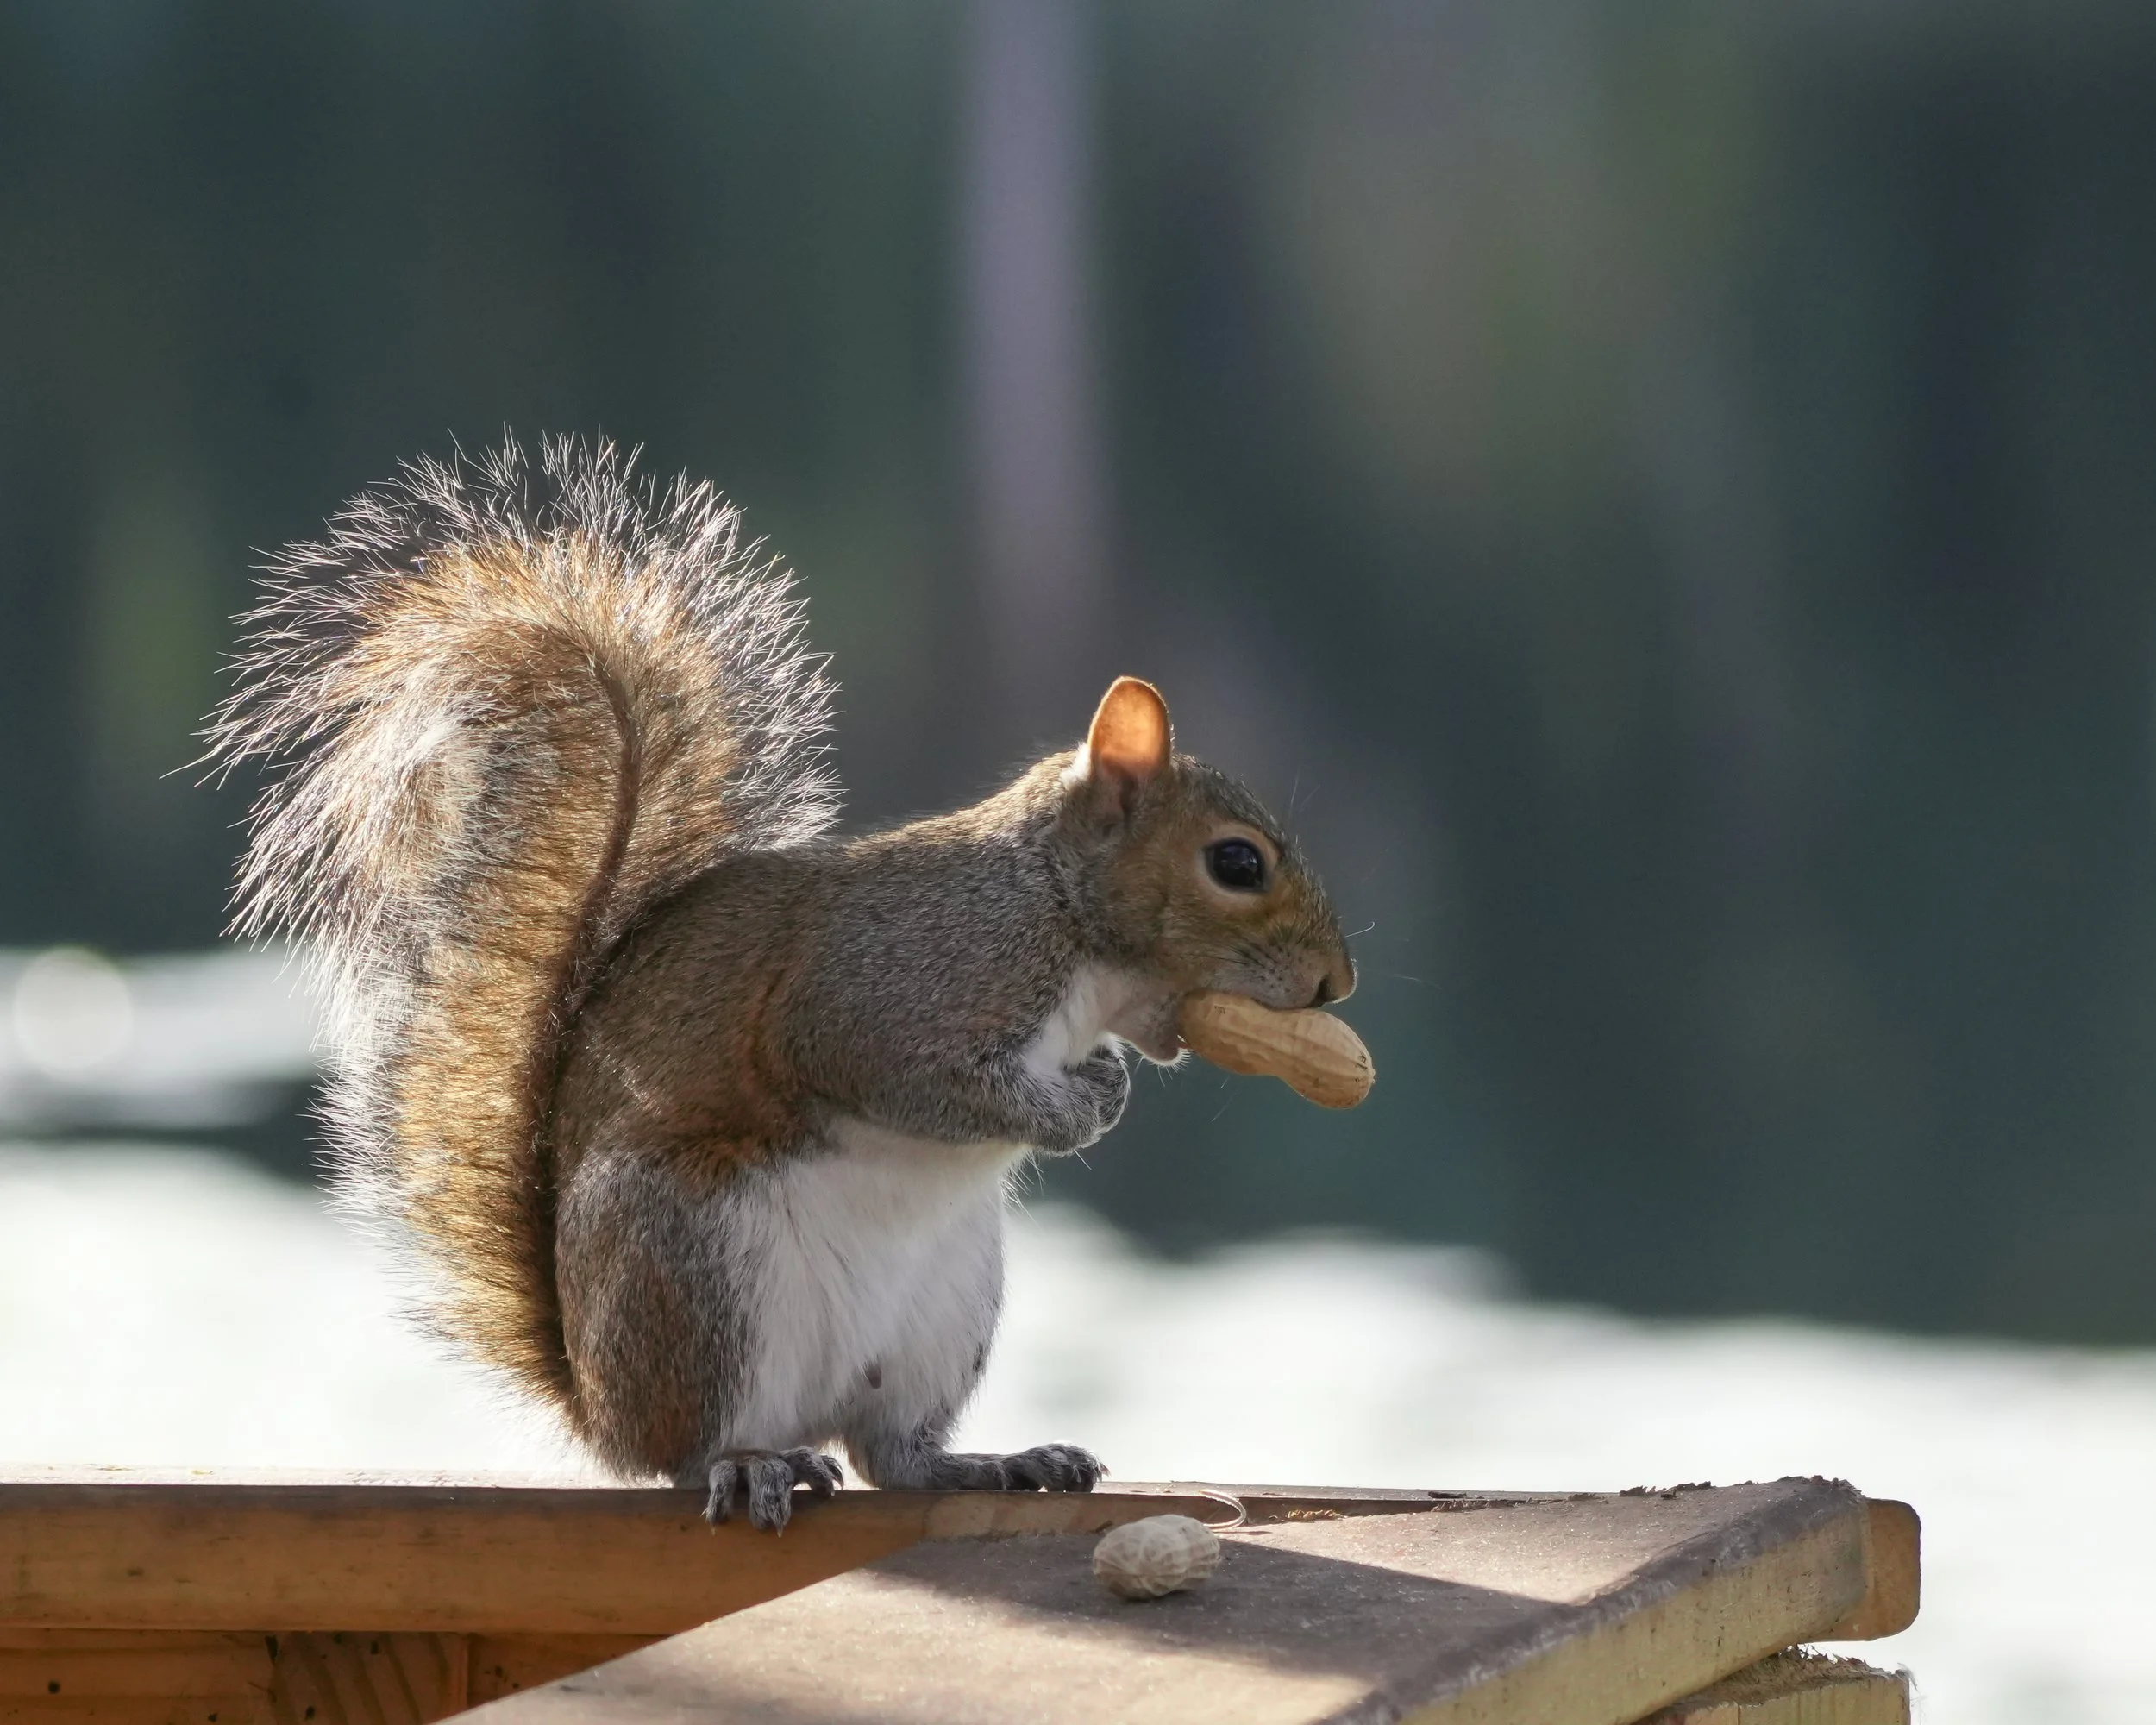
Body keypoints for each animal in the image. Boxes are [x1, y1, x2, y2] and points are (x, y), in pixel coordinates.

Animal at [206, 436, 1355, 1531]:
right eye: (1236, 862)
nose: (1335, 983)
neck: (1060, 919)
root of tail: (597, 1401)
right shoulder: (891, 987)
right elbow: (908, 1074)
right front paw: (1073, 1109)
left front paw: (1107, 1079)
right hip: (699, 1270)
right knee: (692, 1451)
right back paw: (749, 1464)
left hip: (946, 1310)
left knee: (894, 1455)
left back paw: (993, 1460)